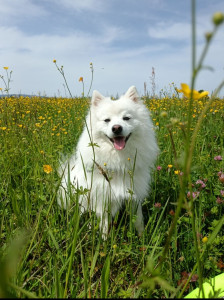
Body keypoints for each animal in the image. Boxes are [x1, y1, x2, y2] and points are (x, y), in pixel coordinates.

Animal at [58, 85, 158, 238]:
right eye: (107, 120)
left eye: (126, 118)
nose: (116, 128)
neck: (119, 160)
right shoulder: (103, 198)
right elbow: (105, 224)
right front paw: (104, 240)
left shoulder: (134, 195)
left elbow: (138, 220)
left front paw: (142, 238)